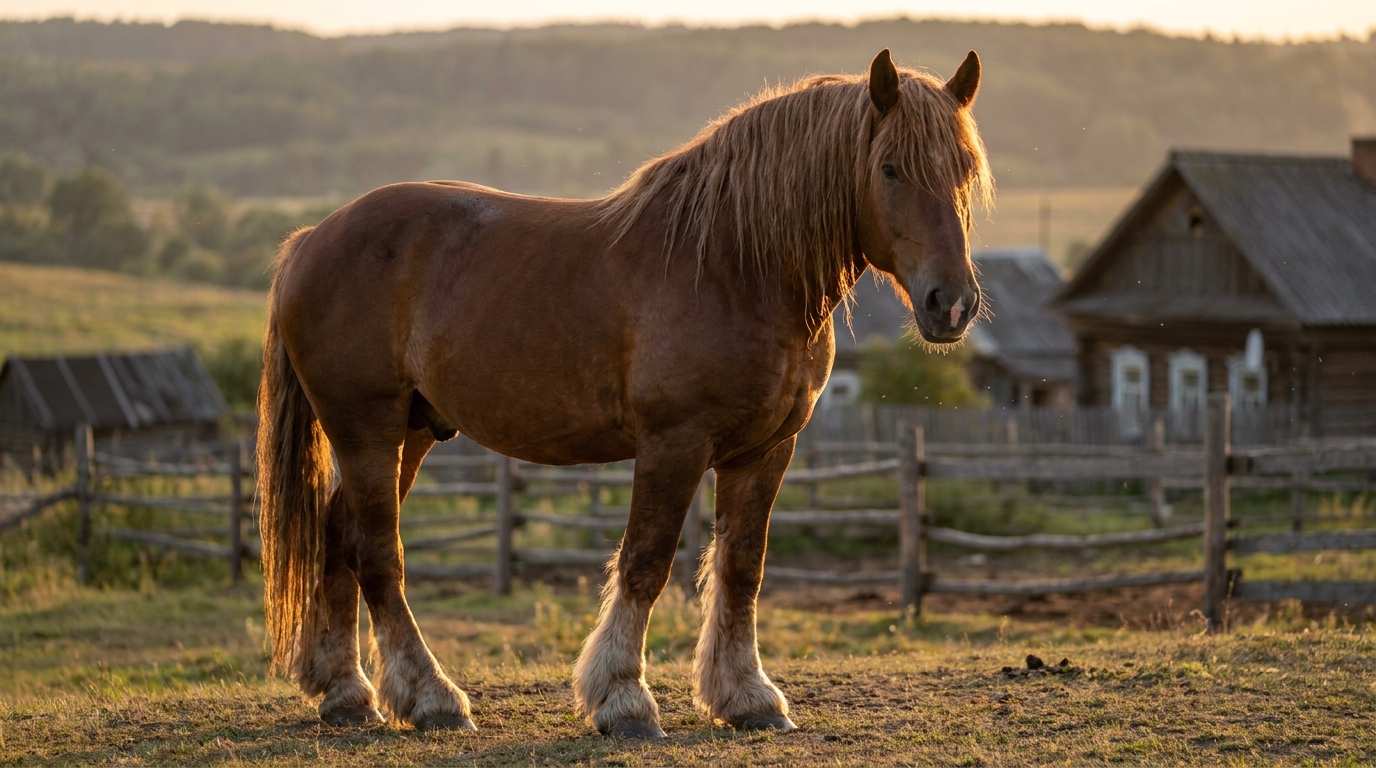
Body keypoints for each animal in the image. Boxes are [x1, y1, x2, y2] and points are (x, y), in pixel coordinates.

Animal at [255, 47, 991, 737]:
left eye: (964, 168)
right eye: (890, 168)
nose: (951, 304)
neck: (732, 264)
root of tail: (310, 240)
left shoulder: (764, 451)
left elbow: (741, 568)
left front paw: (747, 697)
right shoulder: (674, 444)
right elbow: (646, 561)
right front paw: (623, 699)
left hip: (409, 431)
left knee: (340, 537)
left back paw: (346, 693)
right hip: (367, 429)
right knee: (379, 553)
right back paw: (431, 698)